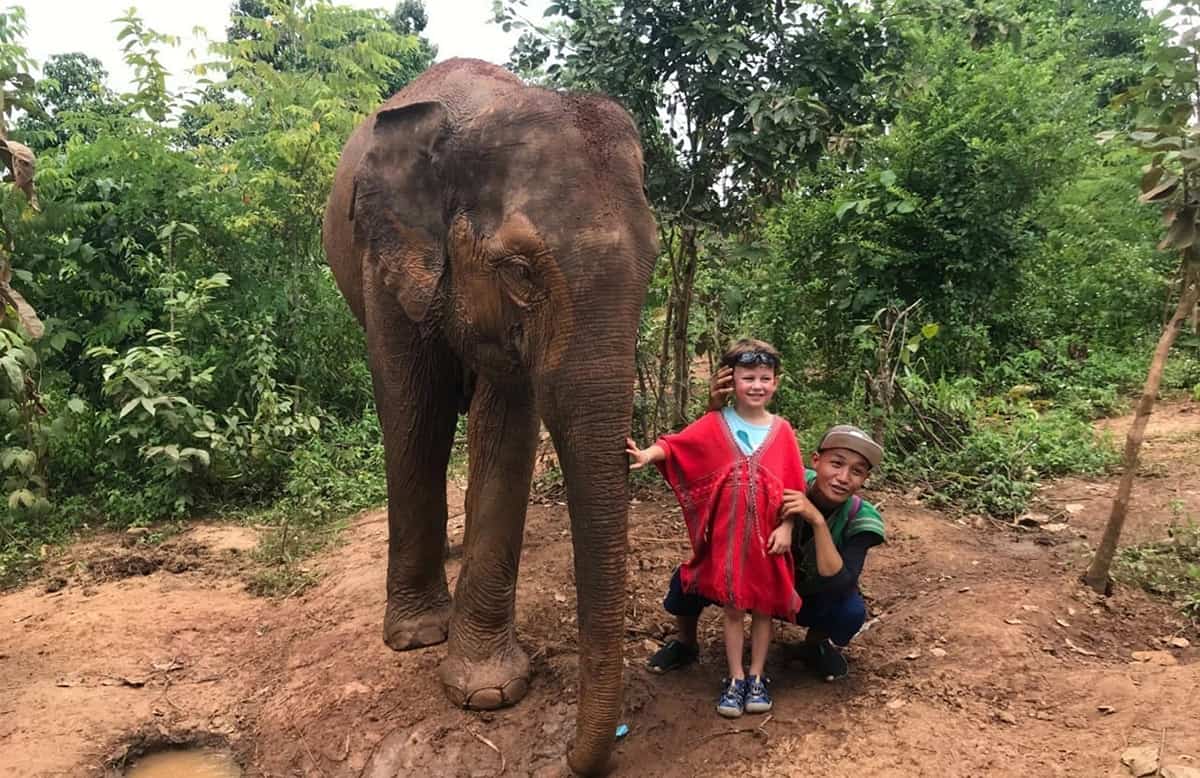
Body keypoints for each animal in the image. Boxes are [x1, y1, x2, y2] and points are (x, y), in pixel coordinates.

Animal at [321, 57, 657, 773]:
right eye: (521, 271)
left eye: (651, 264)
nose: (573, 756)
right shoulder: (386, 257)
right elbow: (414, 414)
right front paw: (419, 639)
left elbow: (506, 426)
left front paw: (486, 692)